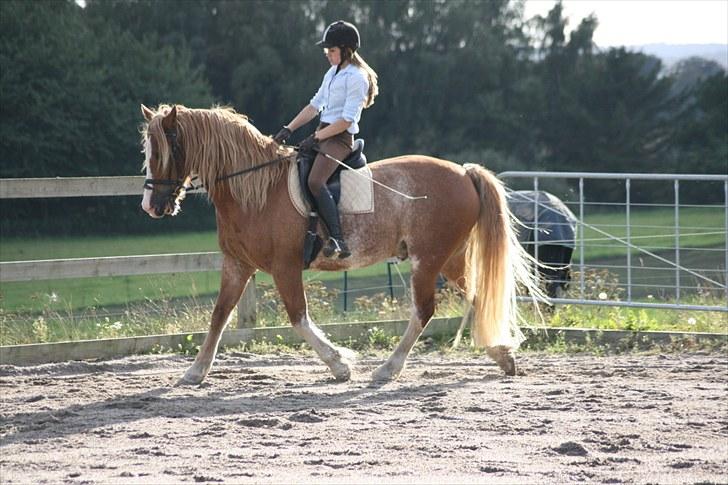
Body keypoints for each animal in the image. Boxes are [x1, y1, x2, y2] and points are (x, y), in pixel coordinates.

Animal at [141, 104, 540, 384]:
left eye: (163, 152)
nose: (151, 207)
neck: (256, 191)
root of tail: (464, 172)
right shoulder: (237, 265)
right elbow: (219, 315)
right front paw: (195, 372)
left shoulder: (285, 267)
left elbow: (298, 318)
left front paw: (340, 364)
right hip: (450, 258)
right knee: (477, 296)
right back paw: (502, 355)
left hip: (427, 260)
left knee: (424, 311)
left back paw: (388, 369)